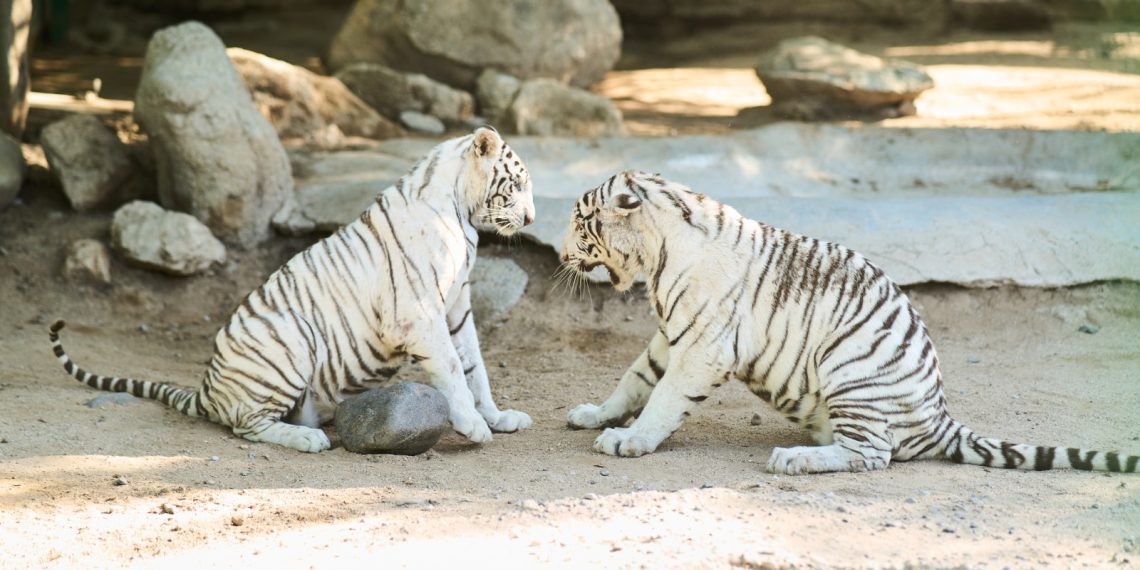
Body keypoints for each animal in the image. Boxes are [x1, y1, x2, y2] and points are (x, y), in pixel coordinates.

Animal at [49, 127, 535, 453]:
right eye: (517, 184)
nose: (531, 219)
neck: (461, 211)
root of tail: (207, 388)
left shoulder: (456, 307)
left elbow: (475, 367)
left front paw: (497, 417)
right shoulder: (418, 314)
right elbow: (453, 369)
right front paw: (474, 426)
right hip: (291, 338)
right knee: (246, 424)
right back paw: (308, 438)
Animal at [560, 170, 1139, 475]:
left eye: (580, 222)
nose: (562, 254)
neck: (657, 256)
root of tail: (939, 416)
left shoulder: (702, 347)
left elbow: (662, 400)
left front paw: (628, 441)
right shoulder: (670, 337)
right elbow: (634, 379)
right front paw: (596, 415)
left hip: (850, 368)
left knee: (873, 455)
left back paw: (793, 458)